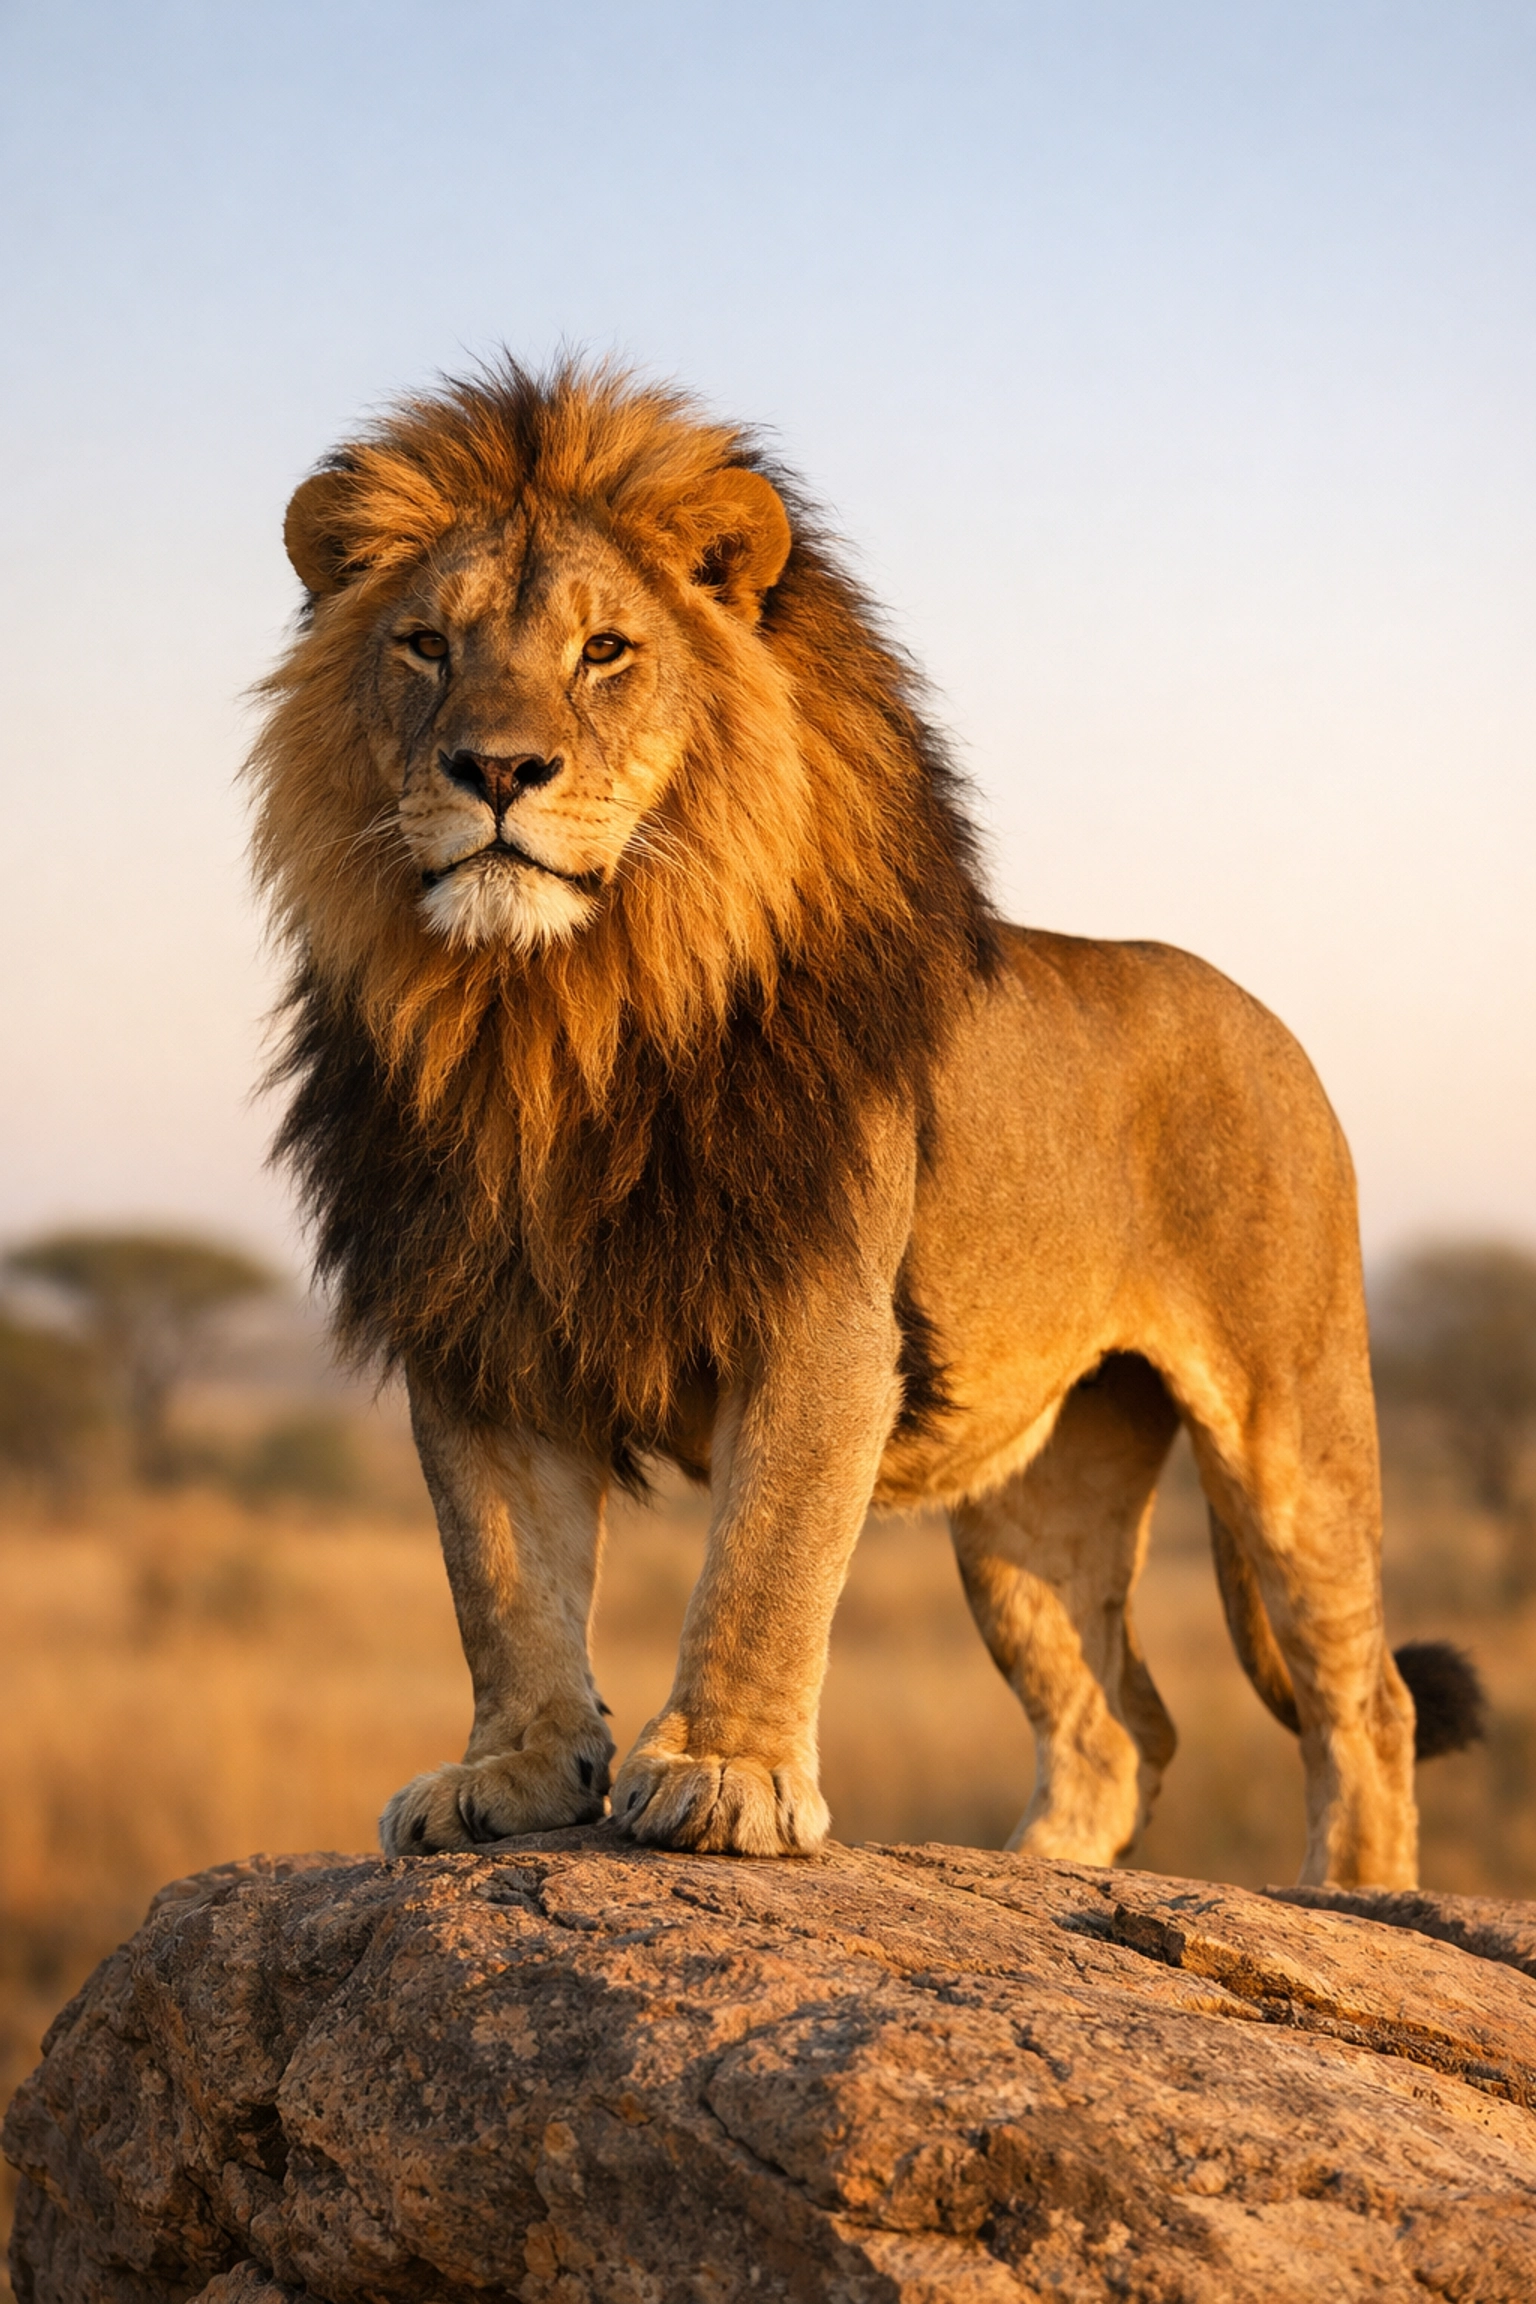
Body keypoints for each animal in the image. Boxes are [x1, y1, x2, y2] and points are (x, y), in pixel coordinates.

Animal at [253, 360, 1481, 1890]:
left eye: (606, 651)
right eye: (424, 645)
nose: (495, 770)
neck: (552, 1015)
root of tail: (1261, 1015)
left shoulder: (825, 1311)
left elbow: (765, 1558)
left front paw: (723, 1774)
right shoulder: (472, 1323)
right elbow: (499, 1573)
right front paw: (514, 1772)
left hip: (1289, 1423)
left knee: (1359, 1696)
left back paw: (1352, 1898)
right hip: (1041, 1494)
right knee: (1115, 1722)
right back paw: (1038, 1873)